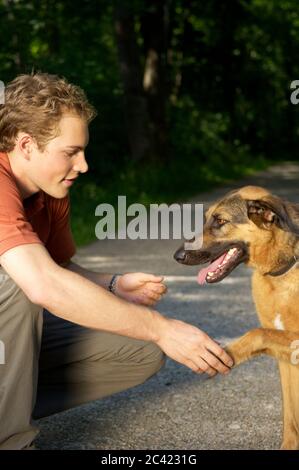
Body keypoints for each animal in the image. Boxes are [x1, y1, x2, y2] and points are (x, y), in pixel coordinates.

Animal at [175, 185, 299, 450]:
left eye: (220, 221)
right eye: (206, 219)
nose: (177, 256)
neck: (283, 272)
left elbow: (258, 333)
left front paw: (225, 354)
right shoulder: (286, 361)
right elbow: (290, 418)